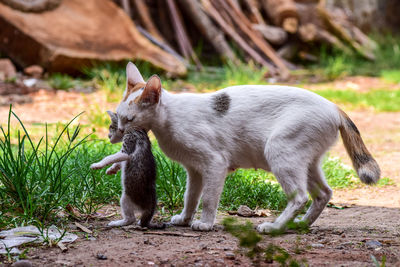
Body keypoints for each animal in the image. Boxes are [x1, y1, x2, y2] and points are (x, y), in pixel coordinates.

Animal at [114, 62, 380, 234]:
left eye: (129, 119)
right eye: (118, 117)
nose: (118, 131)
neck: (168, 120)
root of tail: (334, 106)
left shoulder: (215, 163)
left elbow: (208, 199)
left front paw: (205, 223)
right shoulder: (194, 169)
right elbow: (190, 197)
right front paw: (184, 219)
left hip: (279, 151)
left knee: (300, 197)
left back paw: (274, 227)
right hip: (306, 161)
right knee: (324, 193)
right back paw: (301, 225)